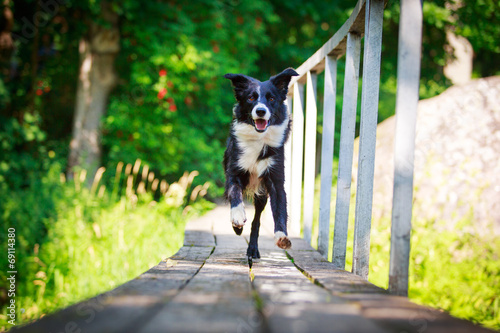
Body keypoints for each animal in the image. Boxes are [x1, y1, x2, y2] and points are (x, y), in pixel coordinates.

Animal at [223, 67, 296, 260]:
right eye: (250, 98)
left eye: (271, 99)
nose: (261, 111)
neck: (258, 138)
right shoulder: (234, 173)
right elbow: (235, 195)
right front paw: (237, 217)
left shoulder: (276, 181)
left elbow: (280, 210)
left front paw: (282, 236)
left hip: (261, 196)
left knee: (256, 222)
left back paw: (253, 249)